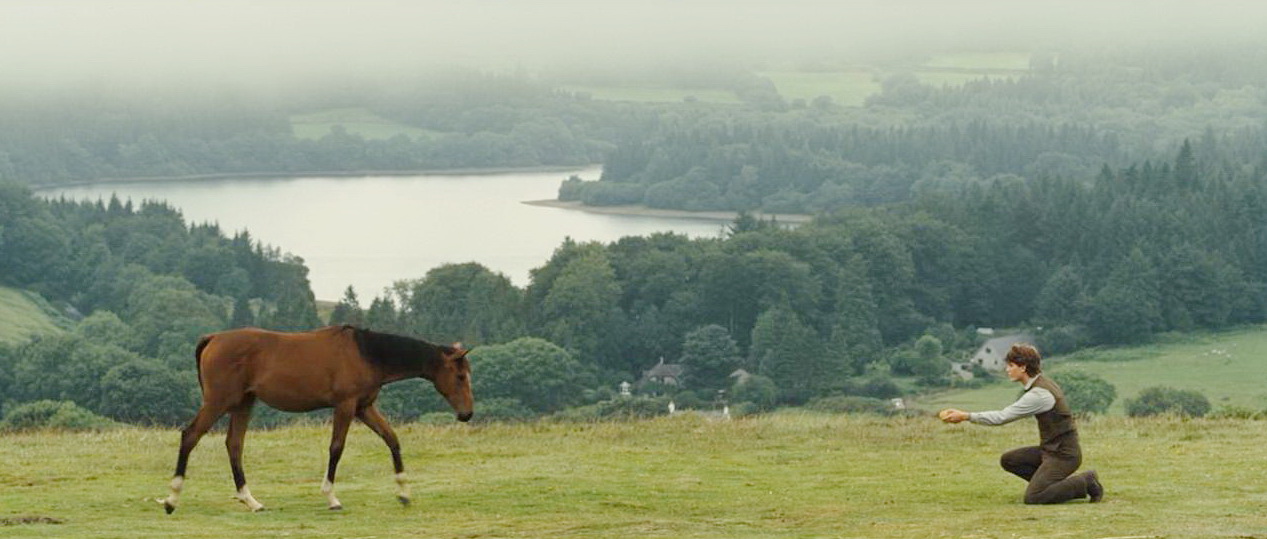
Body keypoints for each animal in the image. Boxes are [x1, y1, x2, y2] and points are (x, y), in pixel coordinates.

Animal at [159, 325, 473, 513]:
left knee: (234, 445)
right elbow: (336, 448)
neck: (366, 353)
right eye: (460, 376)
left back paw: (250, 500)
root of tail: (213, 338)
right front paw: (331, 497)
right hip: (218, 402)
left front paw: (404, 493)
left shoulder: (364, 407)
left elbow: (392, 440)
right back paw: (172, 498)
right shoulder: (345, 406)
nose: (467, 413)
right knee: (190, 436)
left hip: (243, 403)